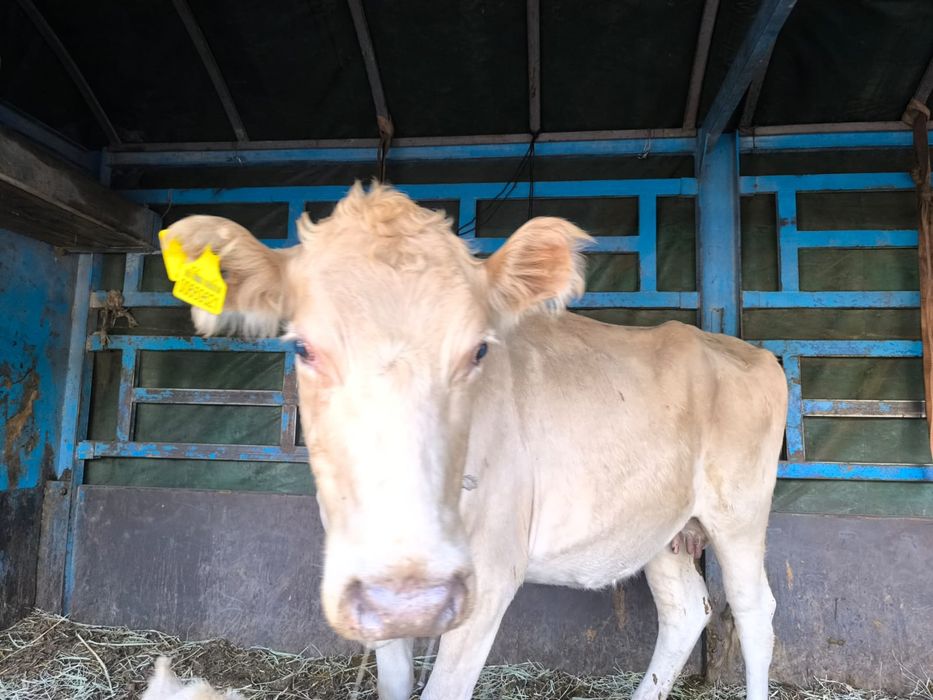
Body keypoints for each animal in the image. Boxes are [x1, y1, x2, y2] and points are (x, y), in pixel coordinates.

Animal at [160, 182, 787, 700]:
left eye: (478, 350)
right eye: (303, 348)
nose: (412, 593)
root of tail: (737, 345)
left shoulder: (489, 574)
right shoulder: (375, 587)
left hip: (739, 510)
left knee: (754, 610)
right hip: (660, 527)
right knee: (686, 610)